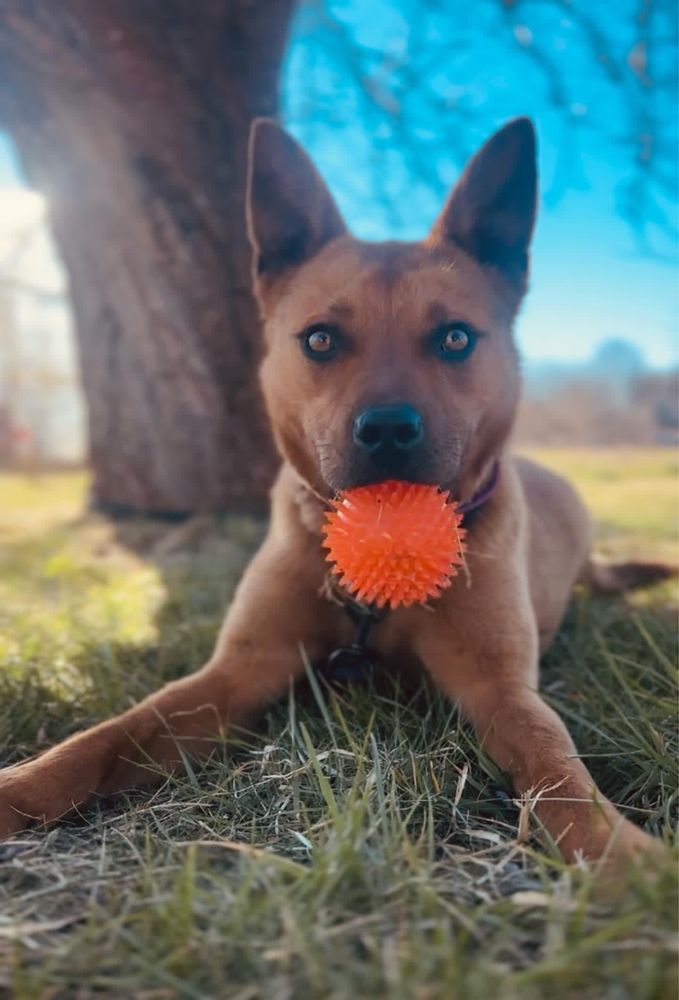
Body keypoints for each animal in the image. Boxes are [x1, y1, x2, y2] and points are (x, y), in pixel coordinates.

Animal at [0, 121, 664, 864]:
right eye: (319, 339)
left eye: (455, 337)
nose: (387, 430)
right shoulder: (237, 671)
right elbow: (109, 734)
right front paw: (18, 790)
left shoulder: (499, 689)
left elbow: (554, 765)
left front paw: (622, 858)